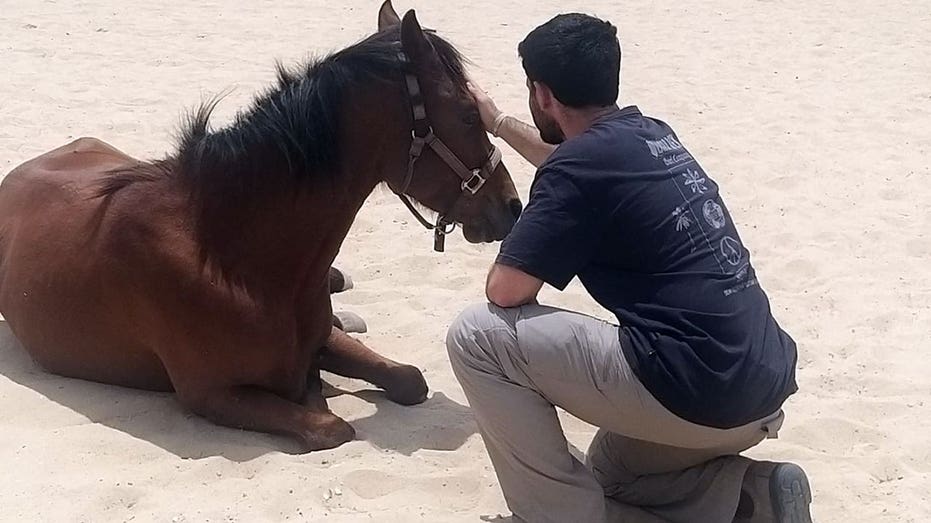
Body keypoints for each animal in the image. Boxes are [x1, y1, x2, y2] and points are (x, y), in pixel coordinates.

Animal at [0, 0, 521, 452]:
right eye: (468, 115)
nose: (512, 207)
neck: (231, 258)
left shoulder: (321, 342)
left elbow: (409, 380)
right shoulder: (211, 393)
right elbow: (330, 426)